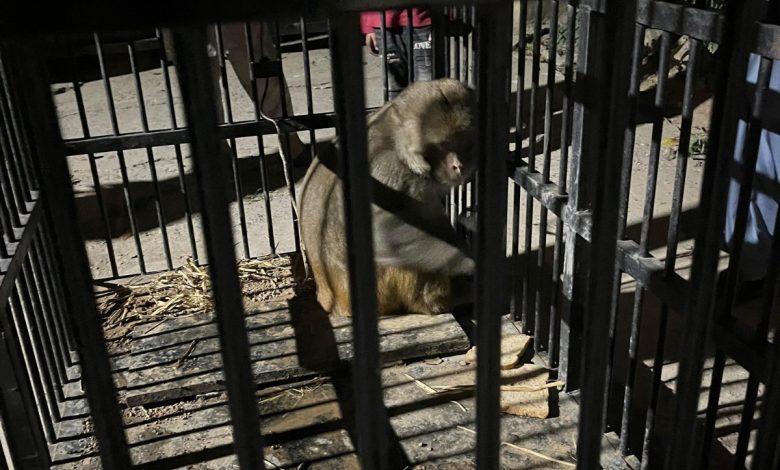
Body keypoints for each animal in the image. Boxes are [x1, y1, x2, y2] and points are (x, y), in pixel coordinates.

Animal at [299, 78, 477, 316]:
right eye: (441, 145)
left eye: (463, 142)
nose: (458, 165)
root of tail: (332, 301)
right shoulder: (389, 171)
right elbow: (381, 234)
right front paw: (468, 260)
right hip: (380, 292)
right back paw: (439, 302)